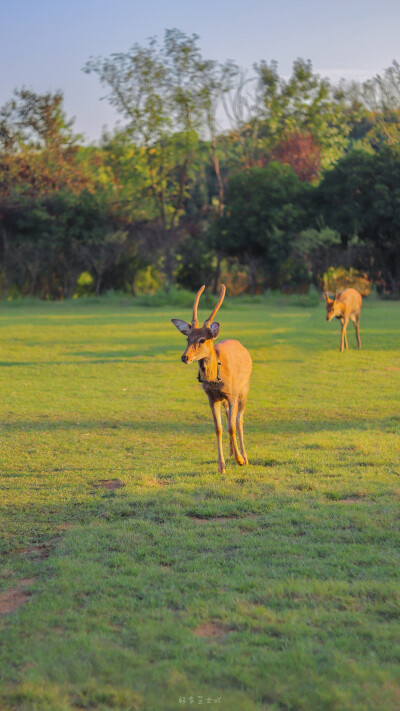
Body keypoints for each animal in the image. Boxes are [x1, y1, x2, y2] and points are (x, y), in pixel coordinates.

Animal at [170, 284, 252, 472]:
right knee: (230, 417)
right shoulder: (211, 397)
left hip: (244, 389)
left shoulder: (232, 394)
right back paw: (232, 452)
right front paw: (221, 466)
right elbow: (218, 428)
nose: (184, 357)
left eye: (202, 340)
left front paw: (240, 460)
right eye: (187, 338)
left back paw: (244, 457)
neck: (217, 378)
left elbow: (231, 427)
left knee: (240, 420)